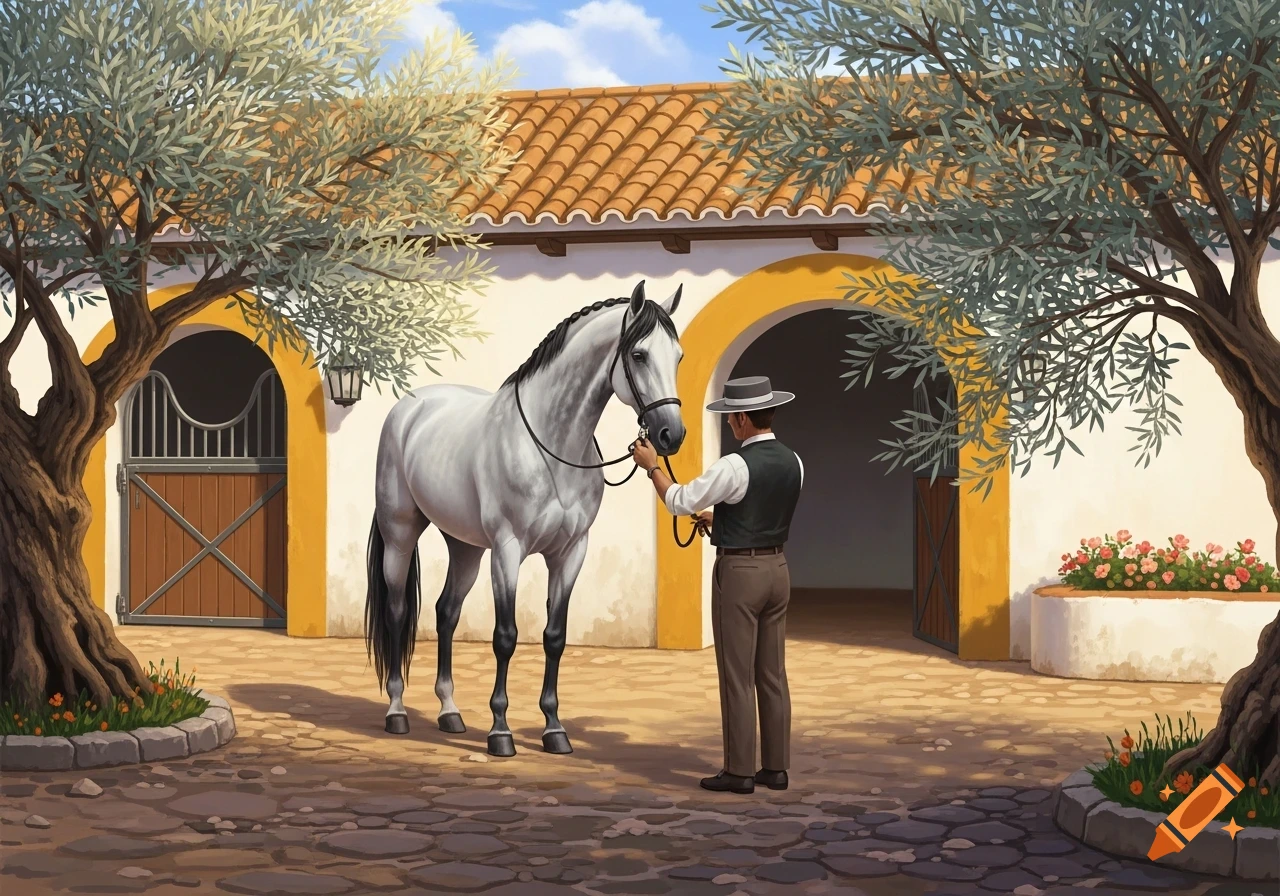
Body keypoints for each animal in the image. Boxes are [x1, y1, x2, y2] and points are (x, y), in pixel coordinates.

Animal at [365, 280, 686, 757]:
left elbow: (554, 637)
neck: (552, 447)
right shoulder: (508, 550)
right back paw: (397, 712)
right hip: (401, 535)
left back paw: (450, 713)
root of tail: (408, 409)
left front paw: (554, 730)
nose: (672, 435)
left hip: (466, 547)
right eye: (639, 354)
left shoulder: (570, 553)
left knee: (446, 613)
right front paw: (500, 732)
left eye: (678, 356)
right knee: (398, 611)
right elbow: (506, 636)